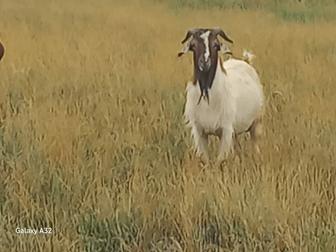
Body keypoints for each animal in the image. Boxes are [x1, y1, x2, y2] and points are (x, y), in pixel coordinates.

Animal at [178, 27, 266, 161]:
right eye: (193, 45)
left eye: (216, 45)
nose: (204, 62)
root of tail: (246, 62)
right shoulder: (199, 131)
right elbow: (206, 160)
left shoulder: (226, 130)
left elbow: (220, 160)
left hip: (257, 123)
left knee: (255, 147)